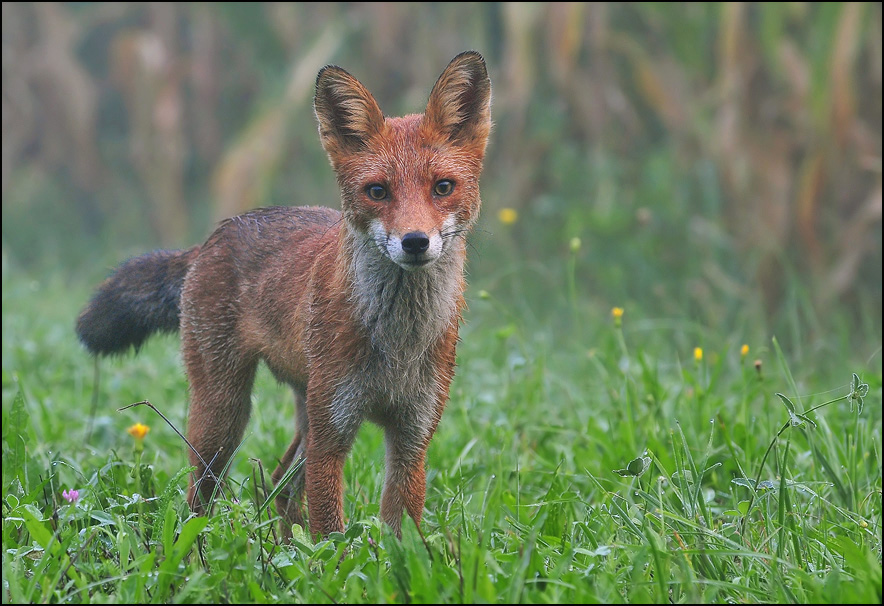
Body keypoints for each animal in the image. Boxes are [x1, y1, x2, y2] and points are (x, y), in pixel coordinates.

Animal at [77, 50, 494, 540]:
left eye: (442, 187)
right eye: (377, 191)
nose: (414, 242)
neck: (397, 343)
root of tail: (214, 237)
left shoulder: (413, 435)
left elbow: (401, 535)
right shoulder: (333, 434)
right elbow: (331, 535)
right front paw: (331, 562)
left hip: (302, 414)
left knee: (276, 485)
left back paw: (285, 546)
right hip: (225, 415)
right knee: (201, 497)